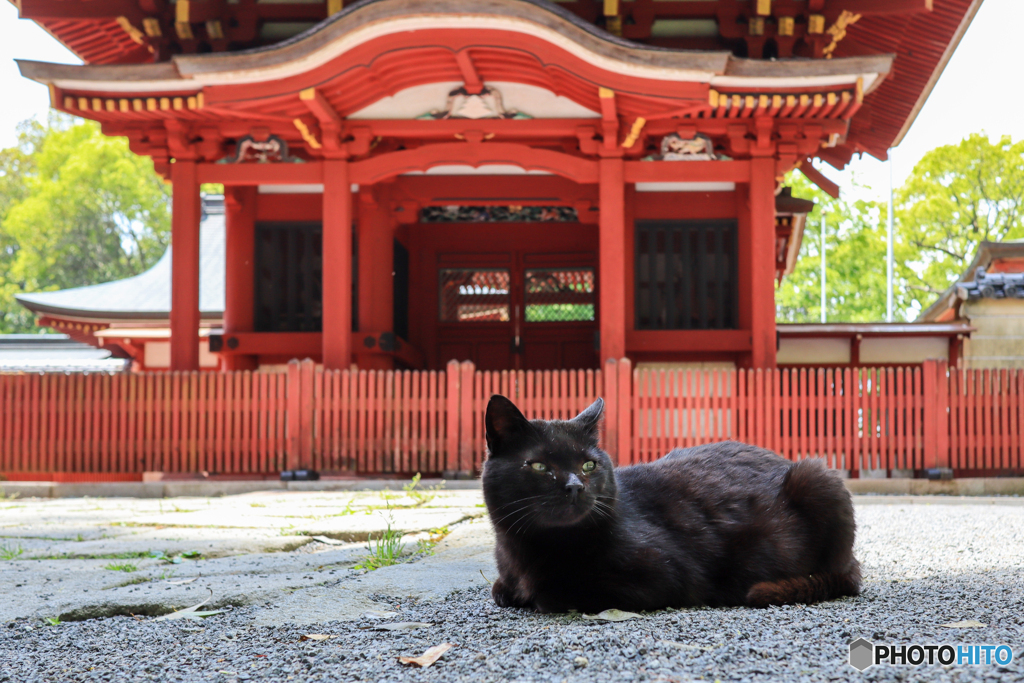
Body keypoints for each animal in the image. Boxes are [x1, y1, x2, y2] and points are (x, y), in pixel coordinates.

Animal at [483, 395, 860, 614]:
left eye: (589, 465)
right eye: (539, 466)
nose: (575, 485)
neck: (527, 550)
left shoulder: (664, 576)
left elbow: (555, 594)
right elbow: (499, 588)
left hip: (817, 478)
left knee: (844, 578)